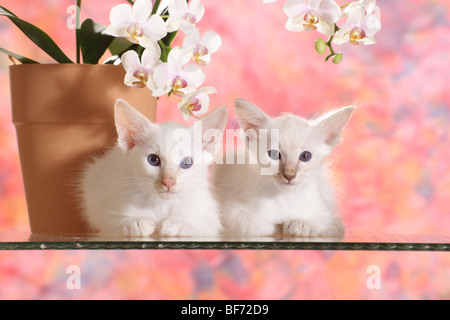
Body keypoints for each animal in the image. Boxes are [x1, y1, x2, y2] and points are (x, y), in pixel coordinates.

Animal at [79, 99, 227, 238]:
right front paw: (135, 222)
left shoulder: (210, 216)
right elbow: (110, 221)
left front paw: (178, 223)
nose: (168, 182)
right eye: (153, 160)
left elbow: (205, 224)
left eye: (186, 162)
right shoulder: (105, 212)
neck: (162, 204)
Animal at [213, 99, 356, 238]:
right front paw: (277, 227)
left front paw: (299, 225)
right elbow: (257, 225)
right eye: (274, 155)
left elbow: (319, 224)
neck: (286, 198)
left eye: (305, 156)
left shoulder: (331, 220)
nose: (289, 175)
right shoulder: (232, 214)